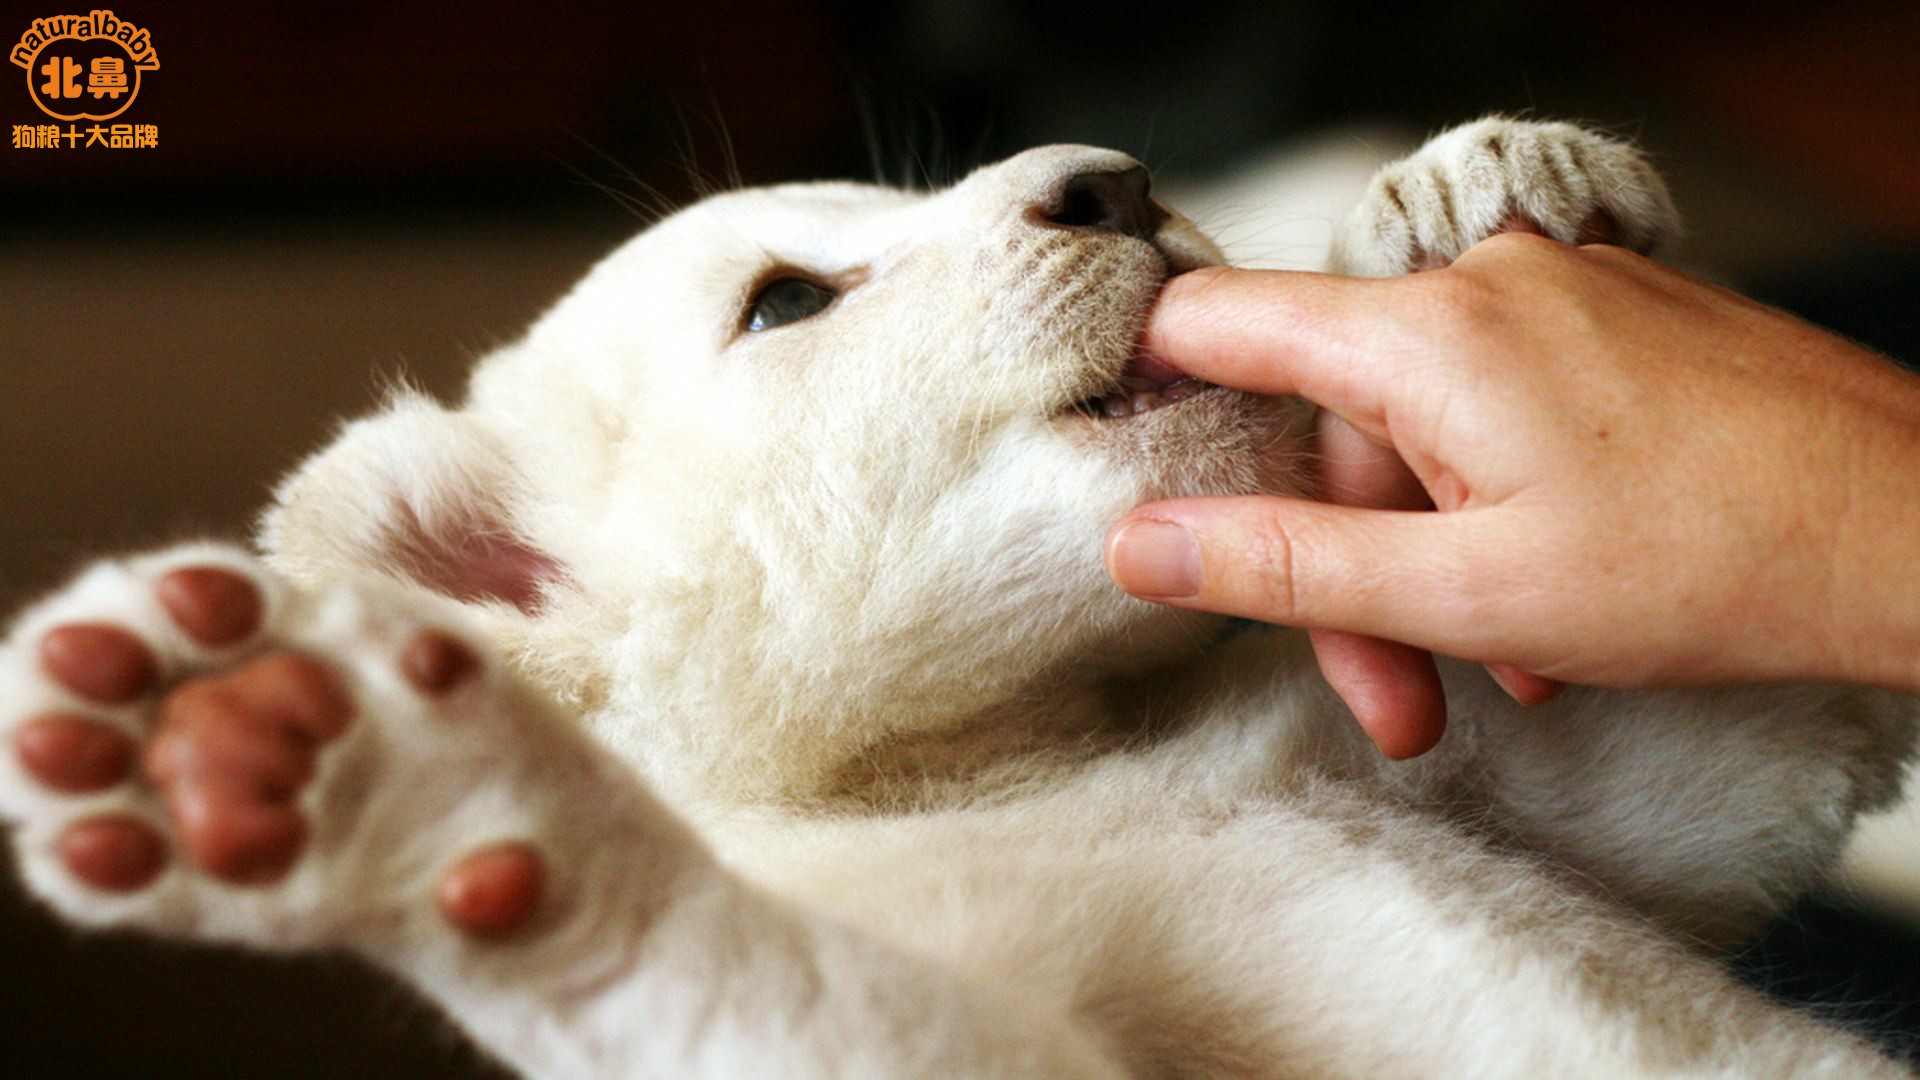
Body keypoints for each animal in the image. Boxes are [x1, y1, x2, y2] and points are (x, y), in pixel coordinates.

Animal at [3, 117, 1920, 1068]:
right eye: (786, 299)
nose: (1117, 181)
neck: (1016, 764)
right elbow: (800, 1003)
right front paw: (313, 745)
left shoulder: (1446, 774)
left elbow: (1713, 716)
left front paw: (1469, 195)